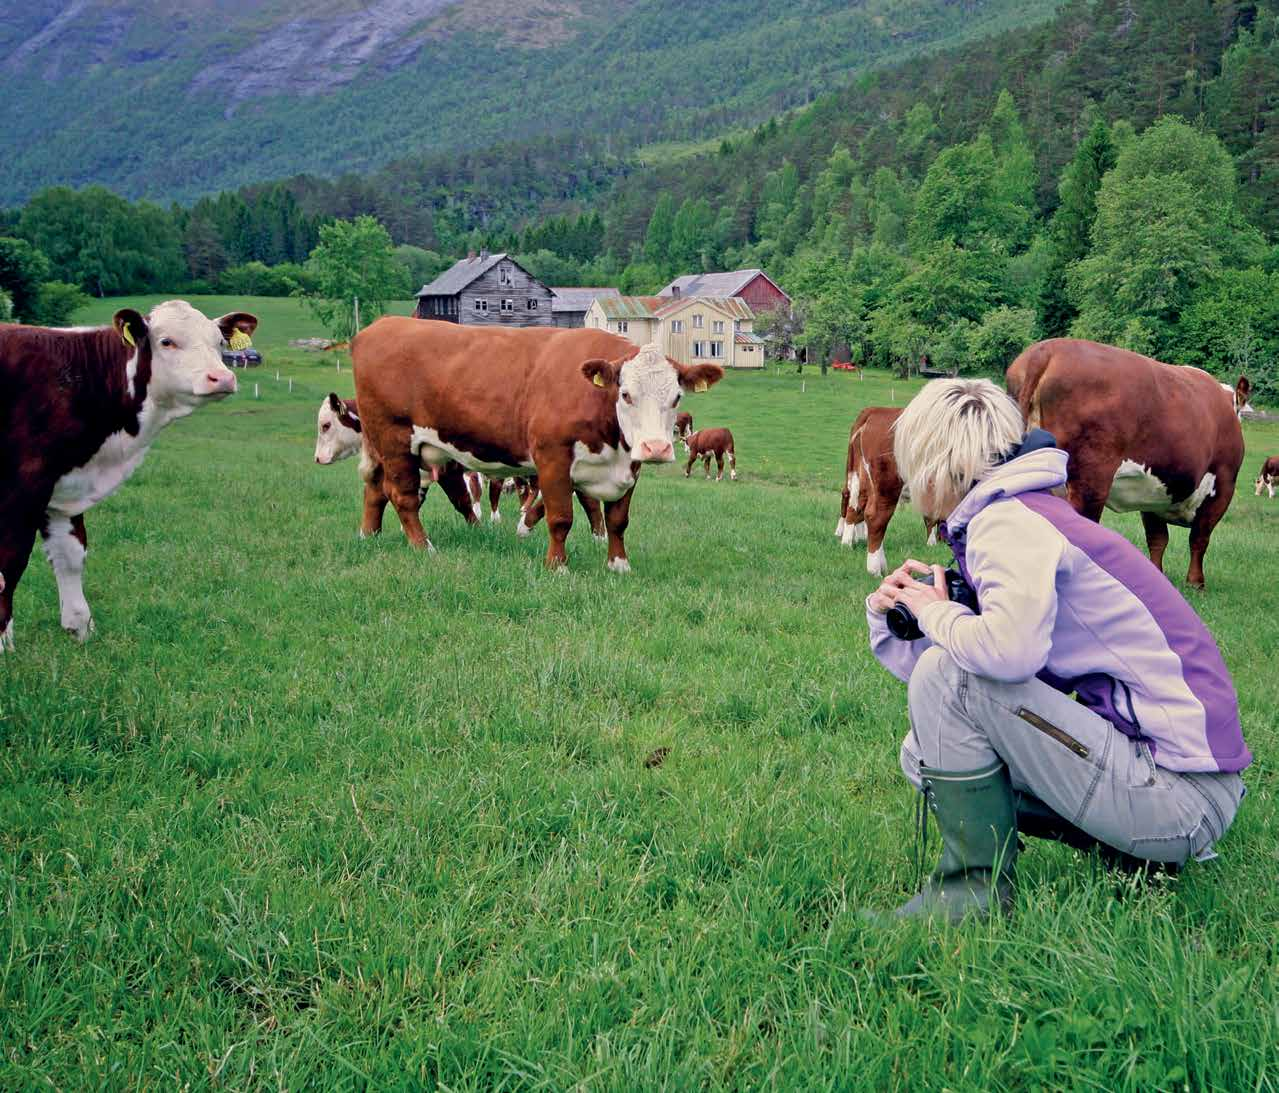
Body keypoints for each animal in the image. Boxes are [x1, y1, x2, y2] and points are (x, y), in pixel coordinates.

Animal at [0, 299, 254, 649]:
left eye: (219, 343)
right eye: (167, 341)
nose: (222, 378)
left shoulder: (63, 484)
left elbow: (70, 554)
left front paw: (80, 627)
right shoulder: (23, 484)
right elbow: (9, 562)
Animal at [839, 406, 941, 577]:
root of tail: (875, 410)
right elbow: (931, 518)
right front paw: (932, 544)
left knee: (855, 506)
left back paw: (848, 543)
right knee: (871, 515)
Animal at [1002, 340, 1243, 590]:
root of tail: (1046, 350)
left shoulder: (1154, 492)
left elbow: (1158, 539)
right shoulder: (1223, 486)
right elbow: (1199, 538)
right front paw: (1196, 583)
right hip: (1090, 482)